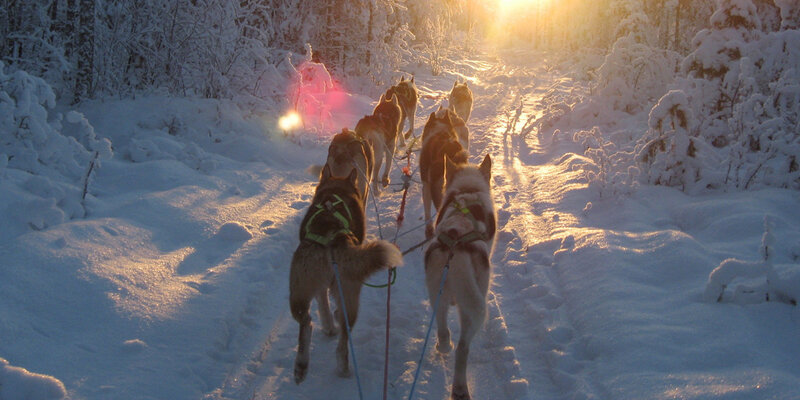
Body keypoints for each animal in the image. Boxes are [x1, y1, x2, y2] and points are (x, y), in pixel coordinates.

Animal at [290, 166, 406, 384]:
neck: (336, 189)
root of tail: (330, 237)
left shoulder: (320, 287)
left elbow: (324, 306)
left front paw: (328, 327)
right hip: (350, 298)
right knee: (342, 342)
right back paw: (344, 369)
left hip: (299, 291)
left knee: (306, 321)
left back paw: (301, 366)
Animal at [424, 154, 494, 400]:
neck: (467, 189)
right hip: (472, 306)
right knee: (463, 348)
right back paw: (460, 388)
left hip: (436, 293)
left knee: (442, 327)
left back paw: (443, 346)